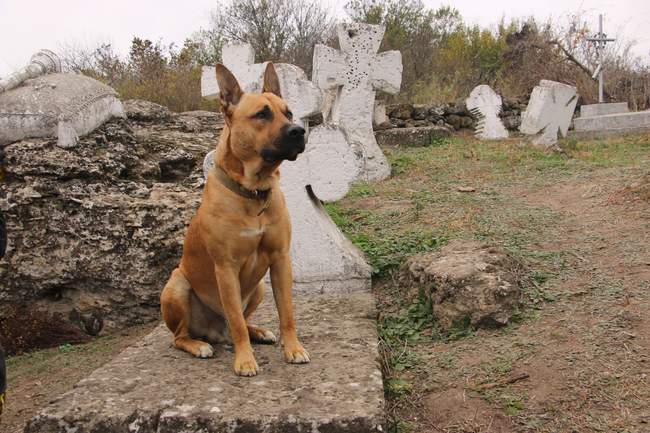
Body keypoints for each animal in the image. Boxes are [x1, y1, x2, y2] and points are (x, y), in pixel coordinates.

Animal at [158, 61, 308, 374]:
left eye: (288, 112)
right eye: (262, 114)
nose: (299, 131)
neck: (253, 191)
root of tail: (215, 332)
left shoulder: (280, 260)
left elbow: (287, 312)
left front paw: (293, 348)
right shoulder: (225, 268)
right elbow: (237, 322)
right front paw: (245, 360)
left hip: (259, 288)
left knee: (241, 320)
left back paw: (258, 332)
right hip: (176, 285)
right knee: (182, 335)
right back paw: (198, 345)